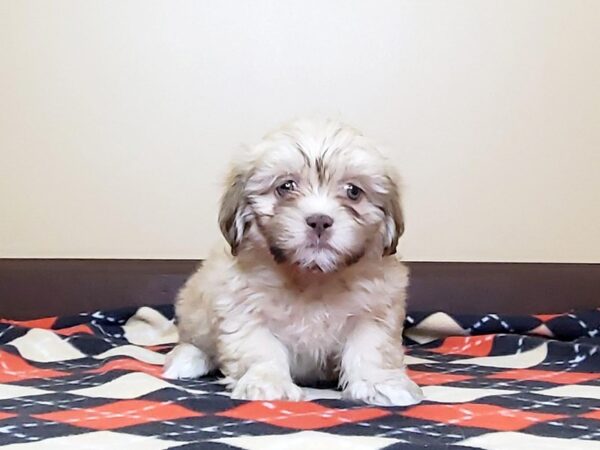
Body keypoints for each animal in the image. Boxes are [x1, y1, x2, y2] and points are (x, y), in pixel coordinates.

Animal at [163, 118, 422, 406]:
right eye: (286, 187)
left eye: (353, 191)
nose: (319, 220)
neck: (313, 277)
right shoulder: (244, 308)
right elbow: (261, 348)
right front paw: (268, 382)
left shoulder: (374, 311)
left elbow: (371, 348)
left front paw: (380, 383)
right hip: (195, 310)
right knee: (195, 340)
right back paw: (187, 360)